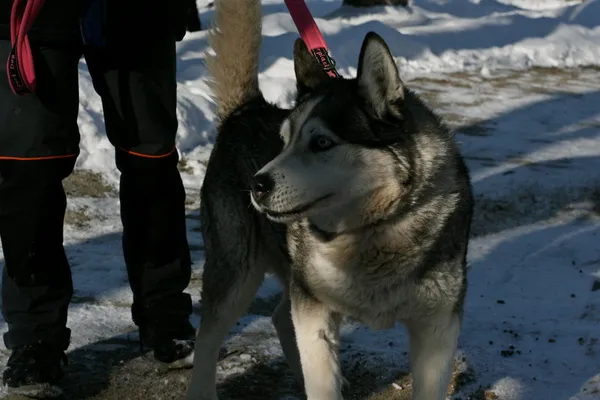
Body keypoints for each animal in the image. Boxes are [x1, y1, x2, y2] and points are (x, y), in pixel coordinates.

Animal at [188, 0, 474, 400]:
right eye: (283, 141)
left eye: (321, 142)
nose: (256, 185)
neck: (374, 231)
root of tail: (245, 110)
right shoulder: (314, 310)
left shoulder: (438, 328)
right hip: (237, 273)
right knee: (209, 334)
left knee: (279, 315)